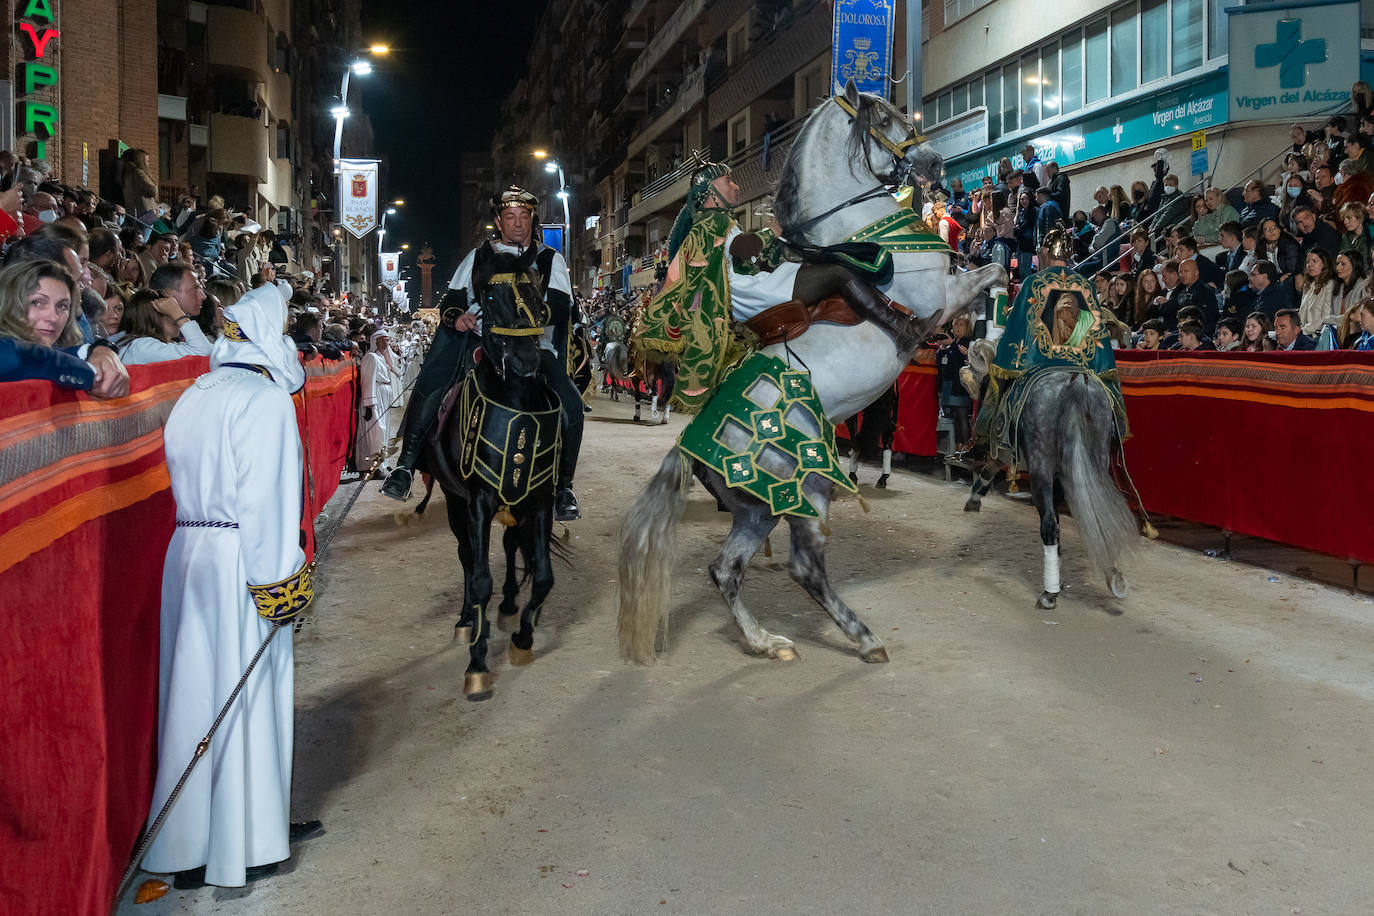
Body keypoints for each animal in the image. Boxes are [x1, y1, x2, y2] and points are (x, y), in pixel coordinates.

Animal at [423, 245, 563, 703]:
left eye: (537, 298)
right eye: (486, 299)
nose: (525, 360)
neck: (516, 401)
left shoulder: (539, 500)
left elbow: (543, 576)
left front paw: (522, 637)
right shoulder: (479, 501)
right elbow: (480, 576)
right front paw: (478, 664)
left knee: (508, 546)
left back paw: (506, 607)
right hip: (455, 502)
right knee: (468, 557)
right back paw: (468, 619)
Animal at [618, 78, 1016, 661]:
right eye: (886, 117)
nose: (934, 164)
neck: (859, 229)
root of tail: (690, 447)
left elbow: (992, 274)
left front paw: (983, 354)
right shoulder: (939, 299)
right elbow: (991, 276)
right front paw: (986, 350)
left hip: (761, 508)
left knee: (725, 570)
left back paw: (766, 642)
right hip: (804, 490)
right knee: (803, 565)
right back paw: (864, 639)